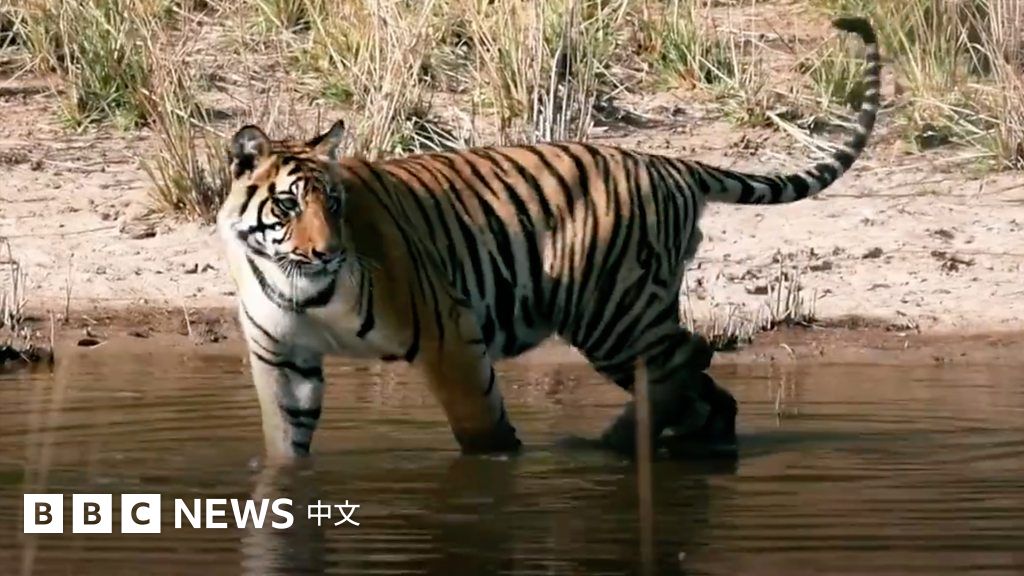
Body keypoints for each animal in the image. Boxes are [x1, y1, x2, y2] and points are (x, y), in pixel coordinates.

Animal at [216, 17, 881, 462]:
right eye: (288, 204)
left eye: (334, 203)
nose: (327, 252)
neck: (299, 283)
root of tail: (668, 161)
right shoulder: (283, 358)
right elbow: (285, 444)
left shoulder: (448, 336)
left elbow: (482, 429)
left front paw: (500, 467)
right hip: (626, 313)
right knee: (701, 382)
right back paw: (687, 444)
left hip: (612, 311)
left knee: (689, 358)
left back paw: (616, 442)